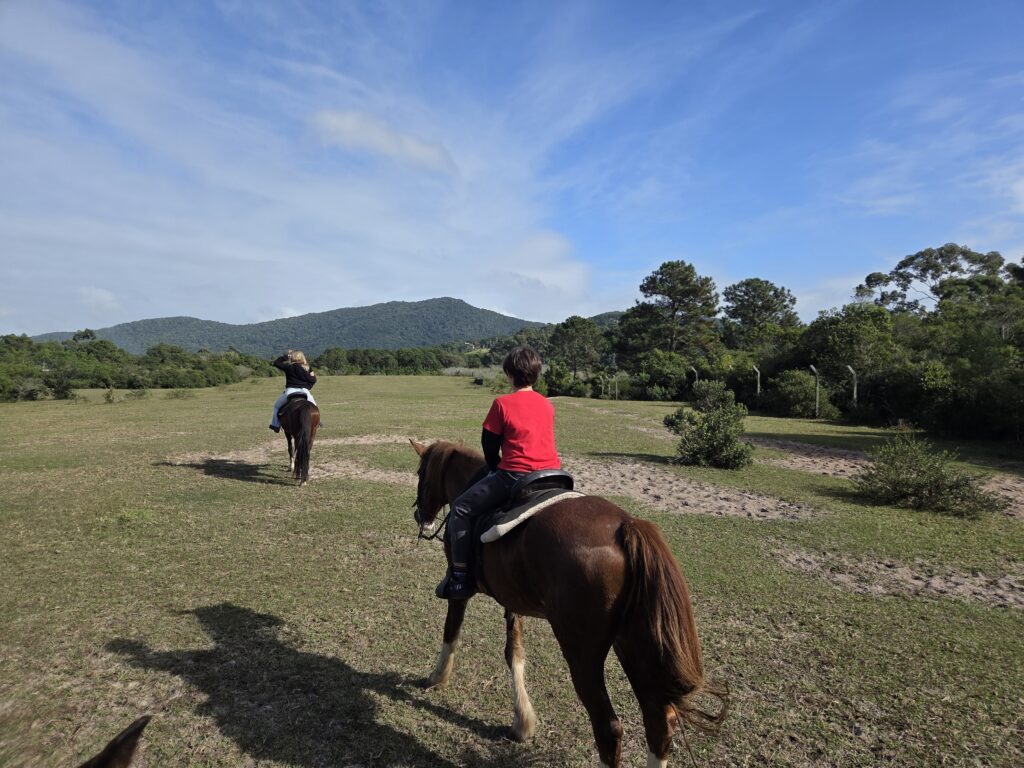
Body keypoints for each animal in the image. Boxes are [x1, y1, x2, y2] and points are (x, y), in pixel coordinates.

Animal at [410, 439, 727, 768]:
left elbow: (451, 632)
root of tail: (627, 525)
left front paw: (436, 678)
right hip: (634, 642)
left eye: (421, 473)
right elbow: (514, 653)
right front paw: (522, 721)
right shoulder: (513, 599)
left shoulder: (460, 590)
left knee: (608, 727)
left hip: (582, 653)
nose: (421, 516)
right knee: (659, 720)